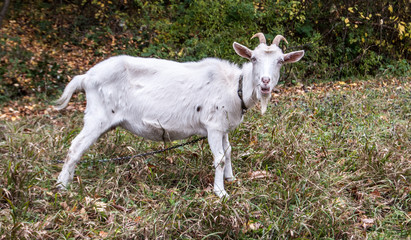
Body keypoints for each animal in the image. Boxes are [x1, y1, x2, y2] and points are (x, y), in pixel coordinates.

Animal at [56, 33, 304, 199]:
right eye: (253, 58)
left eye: (280, 60)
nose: (265, 82)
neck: (235, 86)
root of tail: (86, 77)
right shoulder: (213, 126)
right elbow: (220, 158)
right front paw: (221, 193)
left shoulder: (223, 127)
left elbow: (229, 151)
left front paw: (231, 179)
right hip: (97, 117)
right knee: (75, 147)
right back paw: (62, 187)